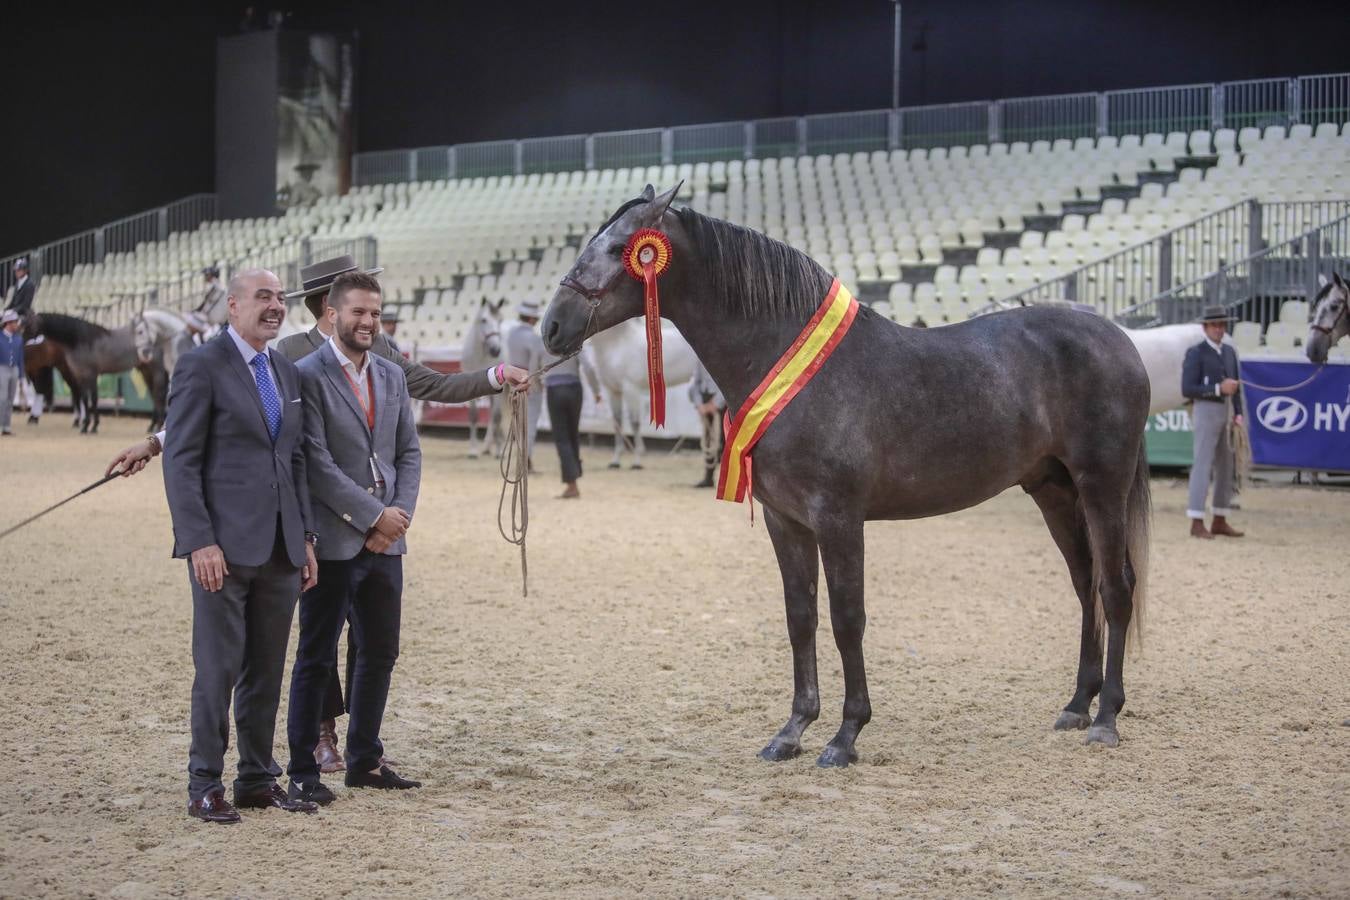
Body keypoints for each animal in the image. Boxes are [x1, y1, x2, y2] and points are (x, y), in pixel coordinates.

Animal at [461, 299, 507, 461]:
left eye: (500, 320)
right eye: (484, 320)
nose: (496, 350)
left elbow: (498, 417)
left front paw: (499, 451)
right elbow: (474, 416)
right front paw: (473, 451)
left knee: (496, 416)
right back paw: (487, 447)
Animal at [588, 317, 696, 469]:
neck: (617, 344)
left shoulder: (631, 389)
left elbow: (635, 423)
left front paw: (637, 461)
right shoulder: (613, 391)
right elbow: (618, 423)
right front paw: (615, 461)